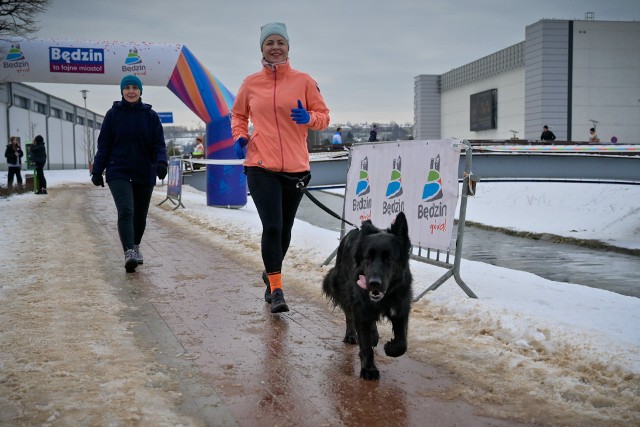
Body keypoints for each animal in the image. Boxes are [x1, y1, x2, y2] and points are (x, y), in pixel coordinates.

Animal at [322, 212, 412, 380]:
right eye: (368, 258)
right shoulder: (361, 309)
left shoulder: (401, 307)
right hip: (344, 289)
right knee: (349, 315)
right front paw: (369, 369)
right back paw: (352, 335)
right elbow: (365, 344)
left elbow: (402, 342)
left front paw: (391, 348)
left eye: (389, 259)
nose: (374, 283)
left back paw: (374, 335)